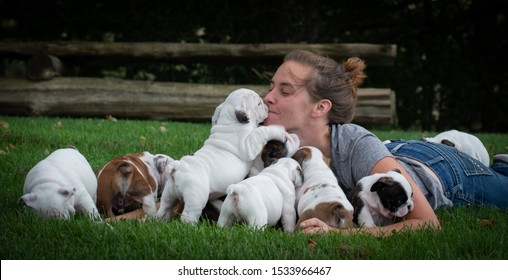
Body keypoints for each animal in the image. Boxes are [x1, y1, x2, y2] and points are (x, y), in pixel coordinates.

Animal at [157, 88, 288, 224]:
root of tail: (177, 168)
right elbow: (262, 131)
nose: (267, 106)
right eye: (258, 104)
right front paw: (279, 130)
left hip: (169, 193)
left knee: (164, 207)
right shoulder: (249, 145)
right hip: (195, 196)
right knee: (189, 215)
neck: (229, 120)